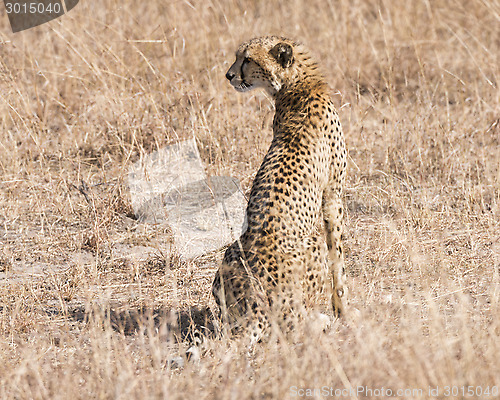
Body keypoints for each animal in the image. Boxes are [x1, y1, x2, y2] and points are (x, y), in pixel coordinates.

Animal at [212, 36, 348, 342]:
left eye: (247, 59)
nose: (228, 75)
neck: (297, 85)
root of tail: (256, 305)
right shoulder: (333, 195)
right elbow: (338, 258)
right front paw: (344, 311)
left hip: (230, 254)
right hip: (312, 243)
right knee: (295, 327)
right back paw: (322, 322)